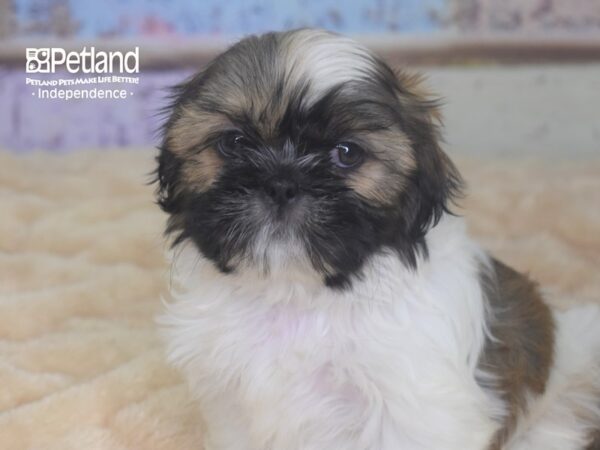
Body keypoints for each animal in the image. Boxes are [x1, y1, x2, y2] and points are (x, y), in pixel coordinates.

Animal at [155, 29, 600, 450]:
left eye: (347, 153)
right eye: (234, 143)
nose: (281, 183)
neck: (296, 293)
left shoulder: (416, 408)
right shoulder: (231, 402)